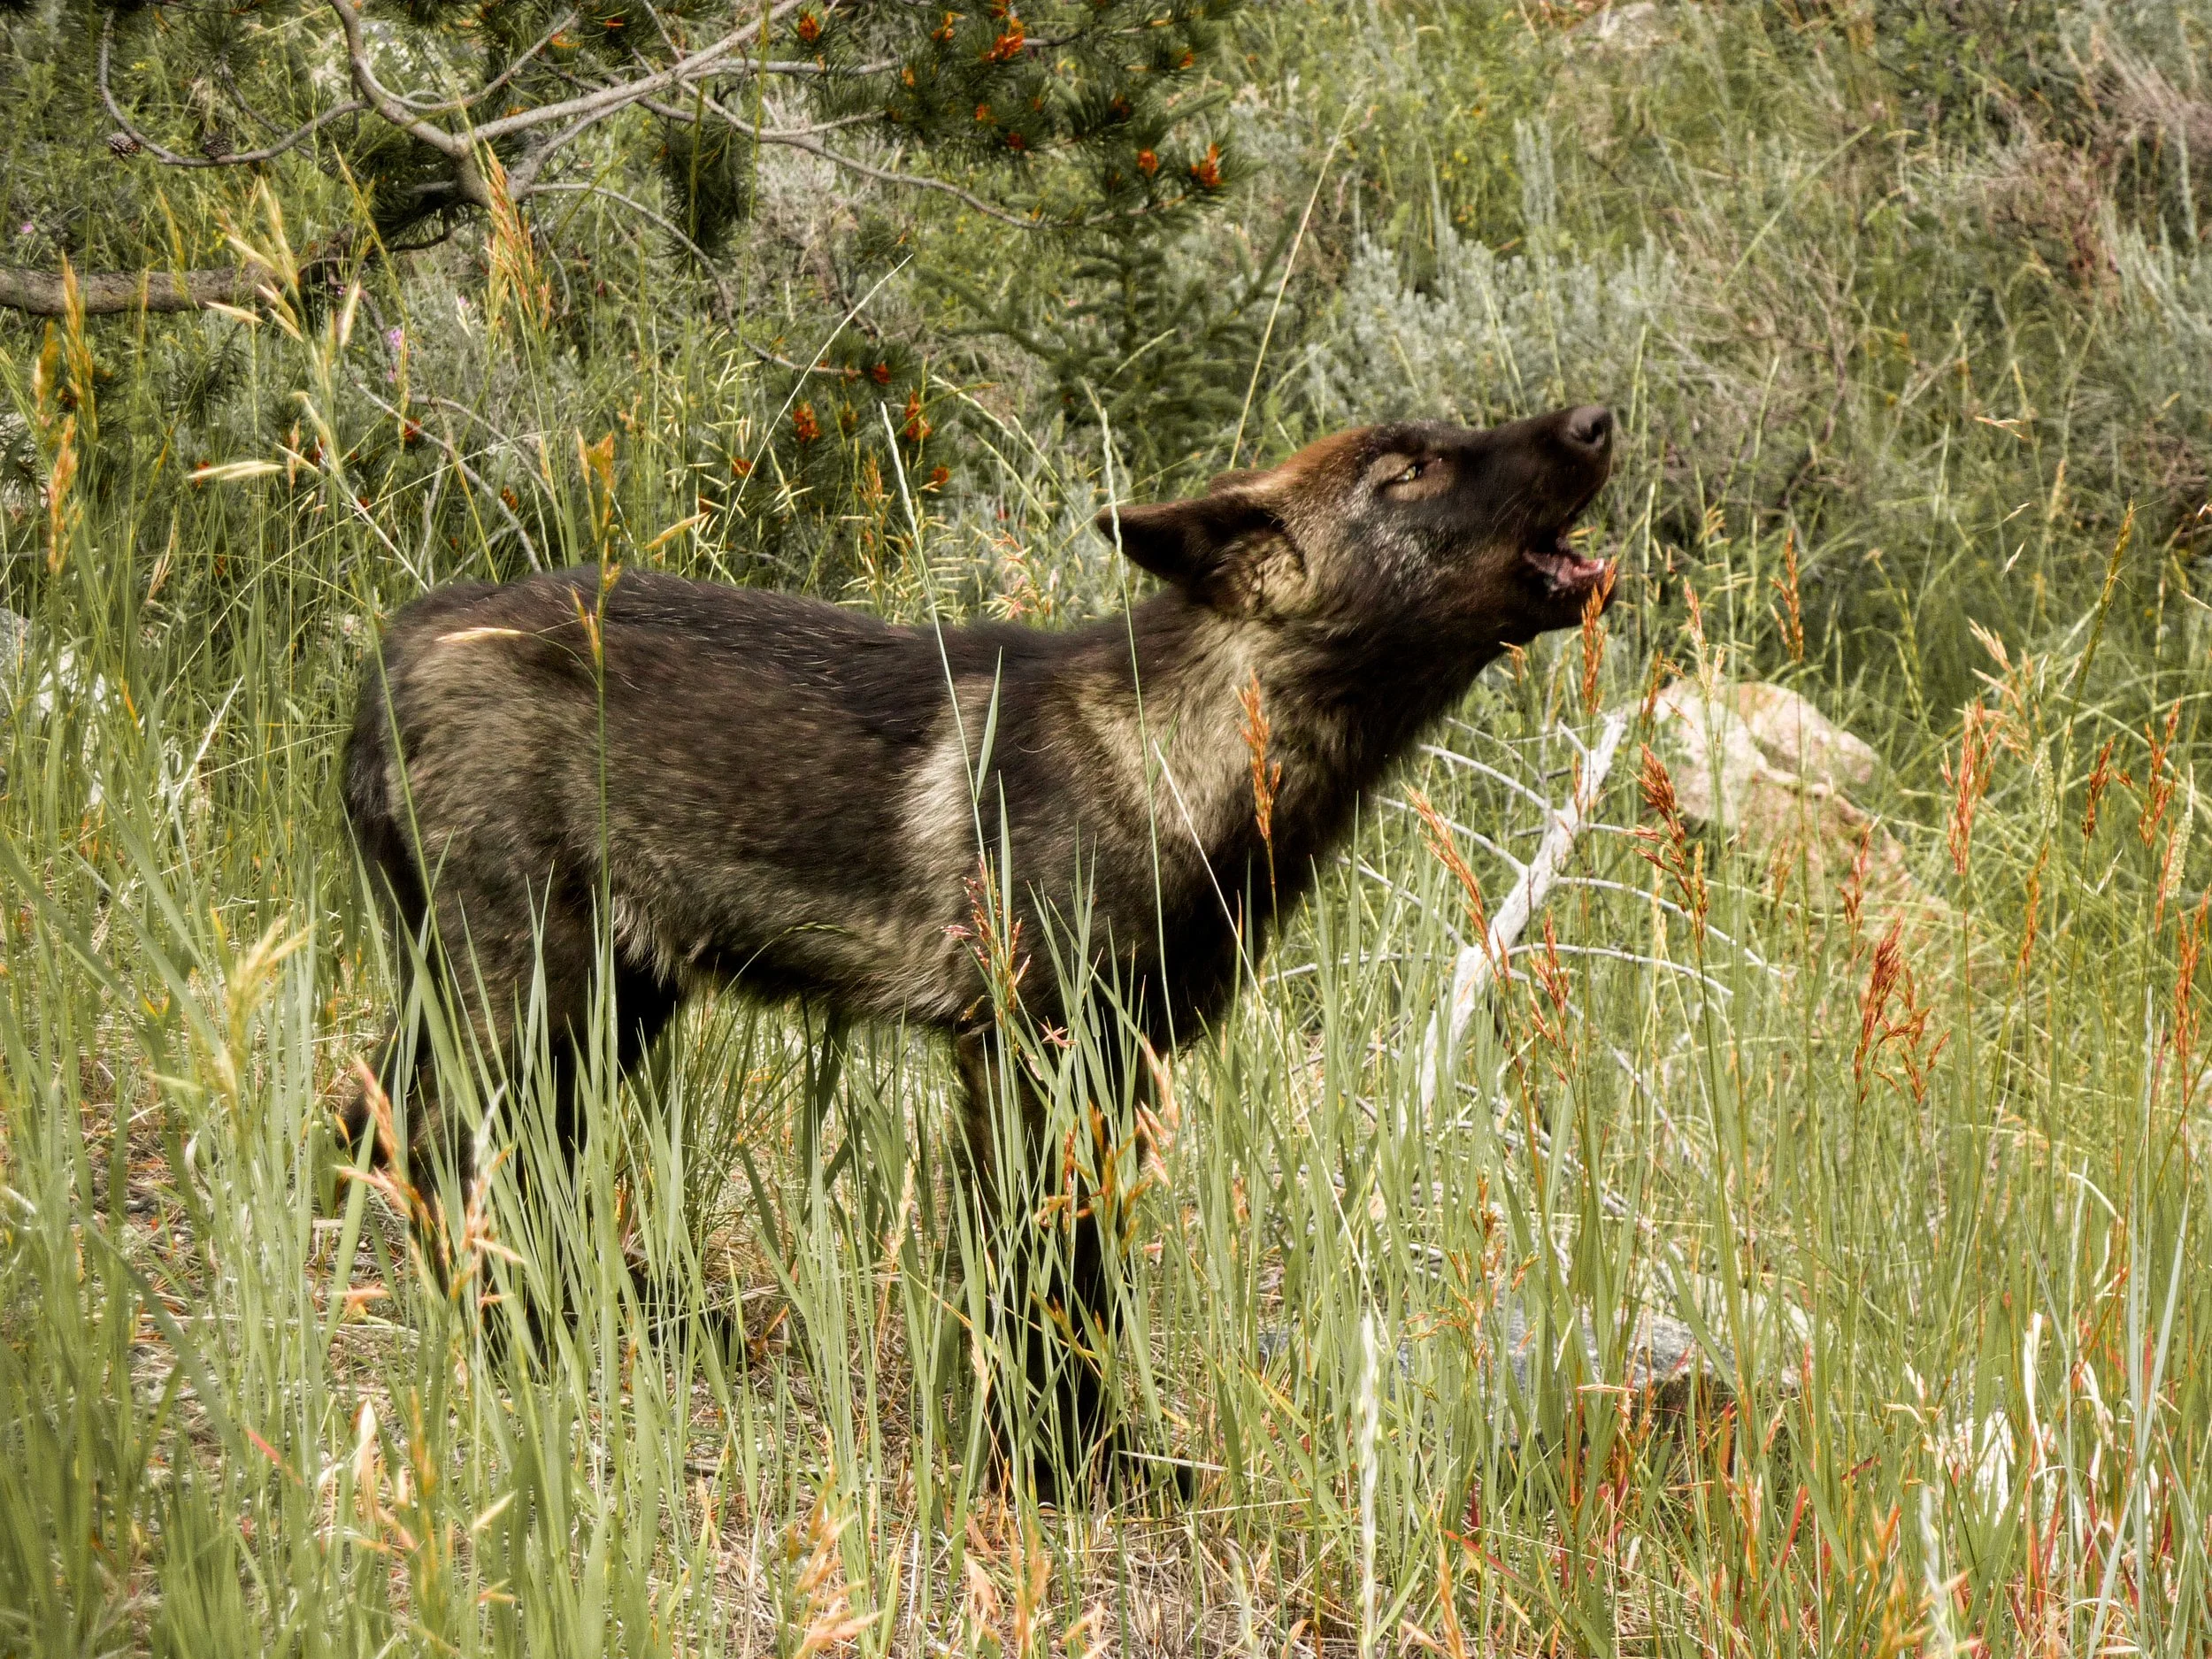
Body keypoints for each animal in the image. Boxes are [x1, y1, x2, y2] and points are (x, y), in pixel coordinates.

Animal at [342, 402, 1616, 1492]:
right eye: (1411, 468)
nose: (1597, 420)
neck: (1171, 750)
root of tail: (397, 643)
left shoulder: (1113, 1070)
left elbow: (1084, 1290)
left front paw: (1096, 1455)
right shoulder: (1027, 1064)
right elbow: (1038, 1289)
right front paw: (1057, 1469)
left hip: (606, 999)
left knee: (400, 1125)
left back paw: (633, 1314)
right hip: (535, 999)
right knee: (450, 1147)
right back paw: (526, 1333)